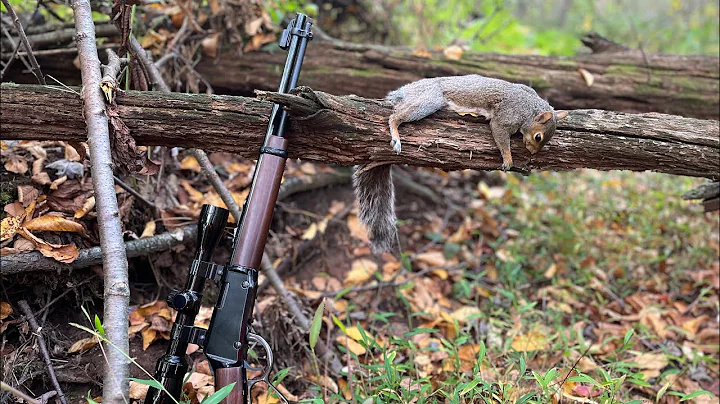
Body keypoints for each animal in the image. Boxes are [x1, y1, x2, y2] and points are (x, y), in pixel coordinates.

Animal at [353, 74, 569, 253]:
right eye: (538, 136)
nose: (532, 152)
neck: (529, 107)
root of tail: (405, 90)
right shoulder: (506, 116)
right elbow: (499, 134)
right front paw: (508, 159)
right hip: (429, 99)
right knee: (394, 116)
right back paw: (396, 136)